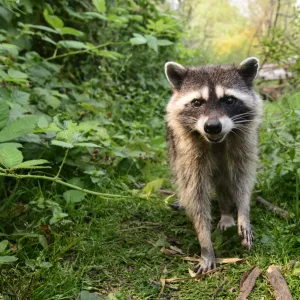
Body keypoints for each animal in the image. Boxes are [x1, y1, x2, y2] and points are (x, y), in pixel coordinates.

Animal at [164, 58, 262, 274]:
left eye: (229, 100)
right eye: (197, 102)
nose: (212, 127)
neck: (217, 140)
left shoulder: (244, 142)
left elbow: (242, 179)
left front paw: (243, 211)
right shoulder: (188, 152)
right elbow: (195, 194)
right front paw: (205, 242)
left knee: (225, 178)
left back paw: (226, 213)